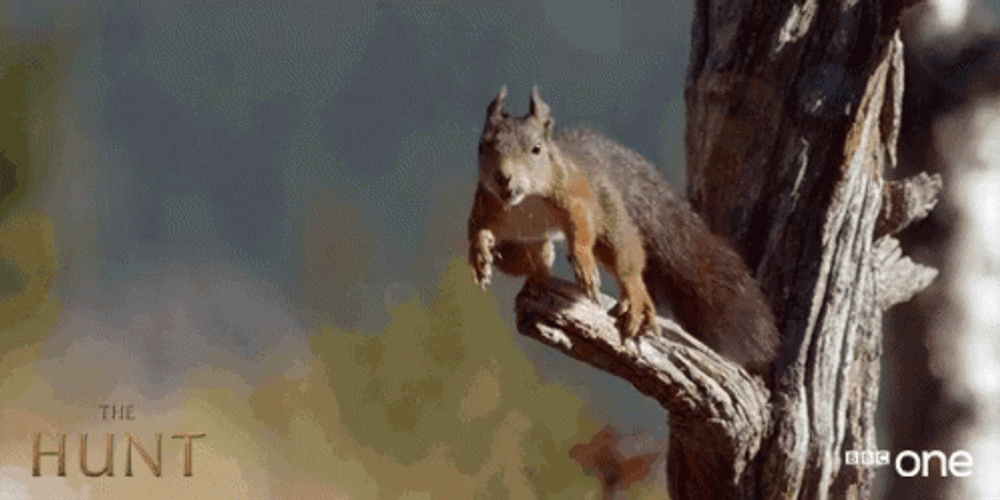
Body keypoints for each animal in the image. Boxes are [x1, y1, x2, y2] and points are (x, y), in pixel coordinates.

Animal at [467, 87, 780, 372]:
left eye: (536, 149)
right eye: (482, 146)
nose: (504, 178)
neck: (524, 201)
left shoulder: (574, 199)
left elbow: (582, 230)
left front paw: (583, 261)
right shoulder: (486, 205)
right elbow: (477, 230)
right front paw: (479, 253)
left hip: (610, 221)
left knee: (628, 260)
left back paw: (636, 300)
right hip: (527, 245)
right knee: (536, 259)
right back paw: (531, 275)